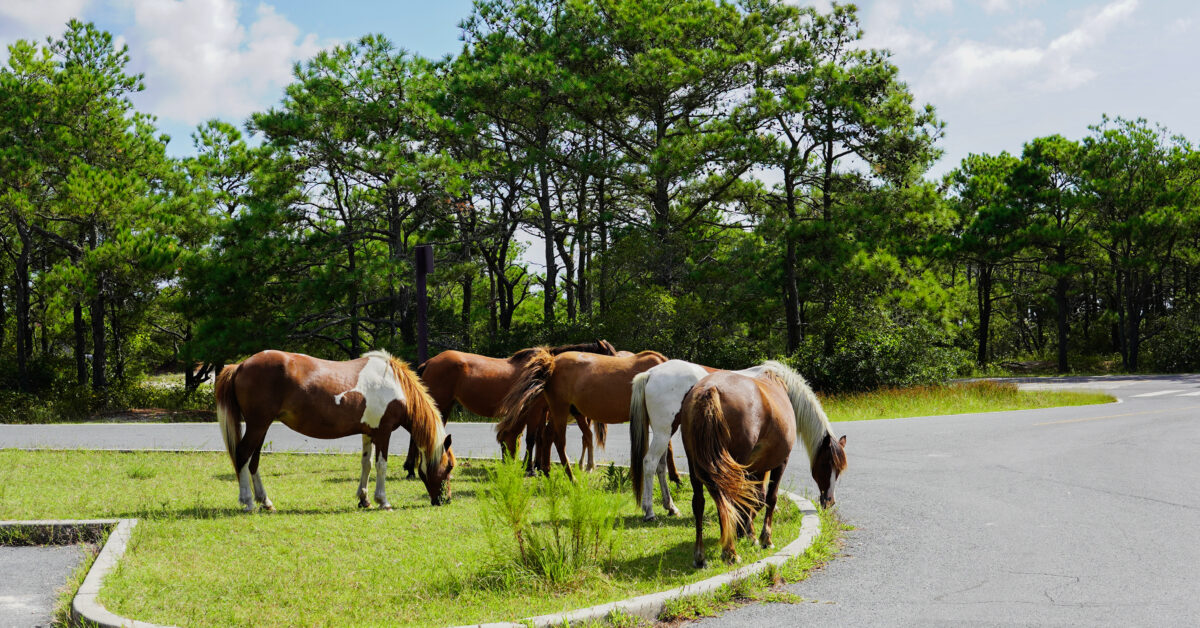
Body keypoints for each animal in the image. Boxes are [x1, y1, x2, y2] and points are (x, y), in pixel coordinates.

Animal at [216, 348, 453, 511]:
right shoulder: (383, 432)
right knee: (243, 455)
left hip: (261, 426)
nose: (446, 500)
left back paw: (266, 502)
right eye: (449, 466)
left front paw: (364, 499)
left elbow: (366, 464)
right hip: (258, 425)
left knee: (253, 461)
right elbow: (381, 466)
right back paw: (248, 502)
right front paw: (383, 501)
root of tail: (240, 365)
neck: (395, 385)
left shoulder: (368, 432)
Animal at [412, 338, 619, 477]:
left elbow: (538, 438)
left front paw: (536, 466)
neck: (547, 369)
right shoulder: (534, 410)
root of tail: (429, 362)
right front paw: (530, 469)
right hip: (441, 404)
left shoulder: (540, 411)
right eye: (610, 356)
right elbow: (532, 439)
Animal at [496, 348, 667, 482]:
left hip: (559, 412)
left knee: (548, 436)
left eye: (504, 441)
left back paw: (549, 472)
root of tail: (553, 363)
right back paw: (570, 477)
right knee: (558, 441)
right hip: (560, 410)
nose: (506, 465)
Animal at [633, 357, 849, 521]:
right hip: (663, 432)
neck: (779, 386)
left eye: (839, 470)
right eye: (826, 465)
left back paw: (670, 507)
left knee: (660, 467)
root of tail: (651, 373)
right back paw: (649, 511)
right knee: (650, 463)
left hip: (665, 432)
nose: (830, 501)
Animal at [681, 369, 820, 569]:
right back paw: (730, 552)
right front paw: (763, 538)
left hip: (697, 466)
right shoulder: (780, 463)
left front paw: (748, 533)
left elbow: (752, 499)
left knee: (700, 503)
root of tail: (710, 389)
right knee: (728, 502)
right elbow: (768, 498)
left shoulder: (754, 469)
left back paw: (701, 556)